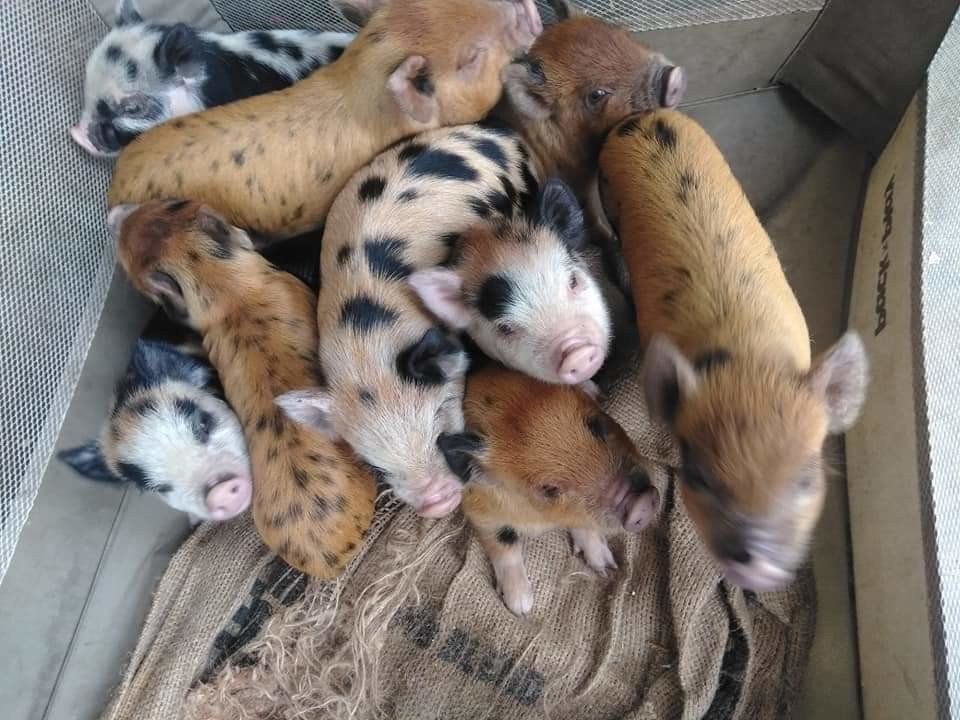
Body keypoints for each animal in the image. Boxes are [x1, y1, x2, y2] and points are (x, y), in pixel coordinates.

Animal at [439, 364, 660, 615]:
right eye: (549, 489)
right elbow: (503, 542)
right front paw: (521, 607)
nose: (642, 504)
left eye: (597, 425)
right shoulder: (479, 510)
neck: (541, 518)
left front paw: (605, 567)